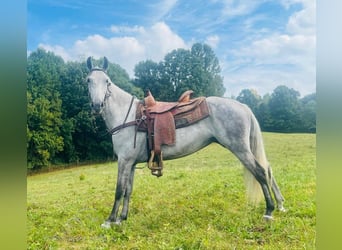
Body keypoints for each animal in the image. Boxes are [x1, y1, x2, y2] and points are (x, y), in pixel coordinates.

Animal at [85, 56, 286, 229]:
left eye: (107, 81)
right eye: (88, 80)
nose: (97, 105)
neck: (129, 116)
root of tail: (243, 106)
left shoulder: (124, 161)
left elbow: (119, 190)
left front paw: (109, 221)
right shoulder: (131, 163)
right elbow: (128, 190)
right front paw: (121, 219)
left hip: (240, 149)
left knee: (260, 172)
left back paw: (269, 211)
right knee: (267, 169)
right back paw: (280, 204)